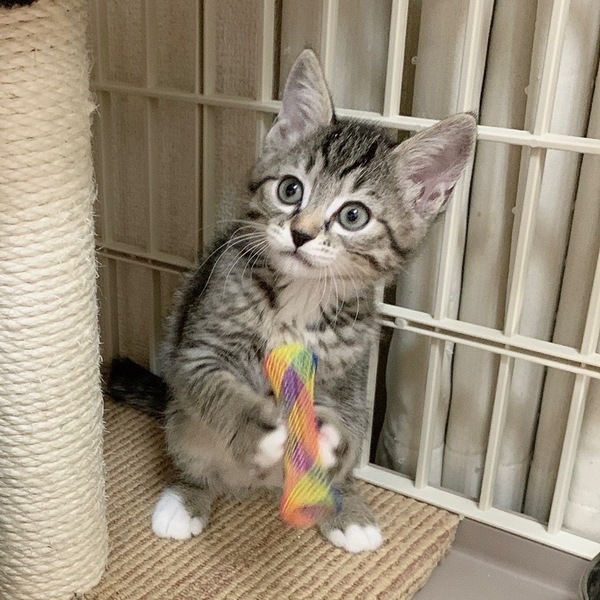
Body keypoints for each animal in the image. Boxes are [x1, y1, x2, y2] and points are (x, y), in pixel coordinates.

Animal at [109, 49, 476, 553]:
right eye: (290, 189)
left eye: (353, 216)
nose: (301, 233)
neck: (299, 298)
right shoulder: (199, 349)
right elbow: (217, 390)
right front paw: (259, 428)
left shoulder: (348, 379)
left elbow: (348, 425)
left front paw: (329, 448)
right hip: (183, 423)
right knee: (193, 449)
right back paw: (186, 497)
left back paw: (347, 507)